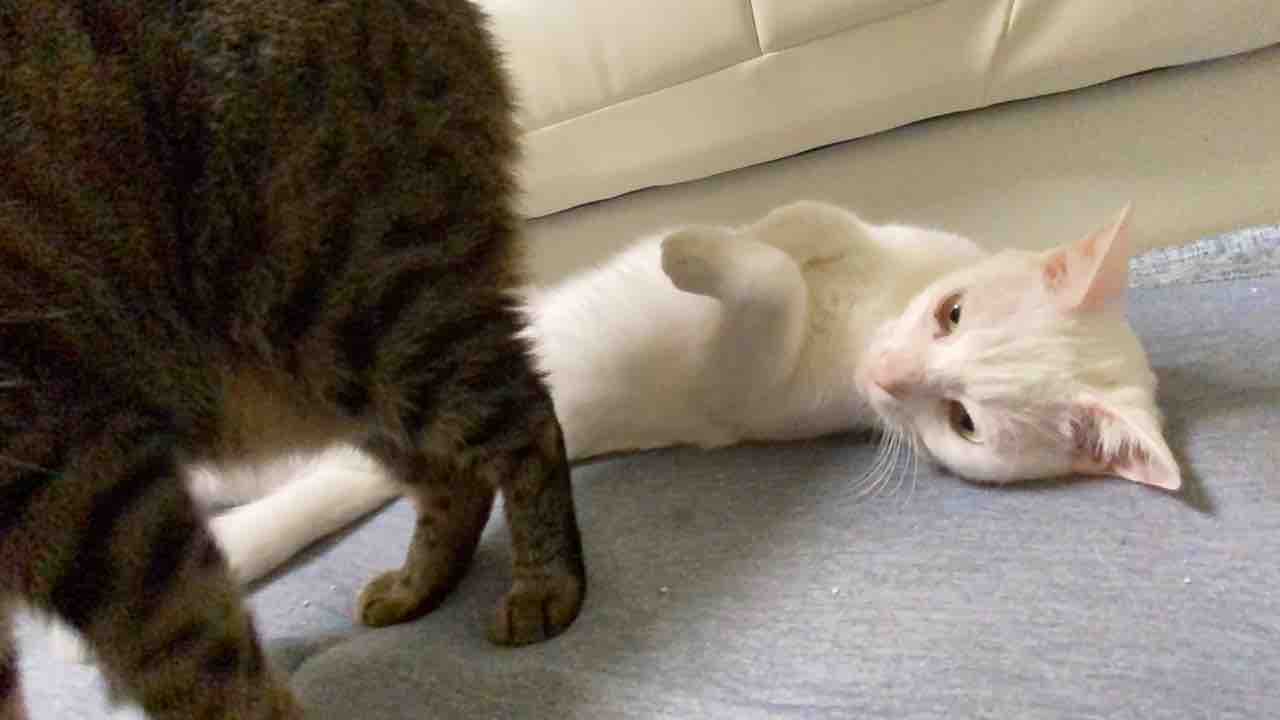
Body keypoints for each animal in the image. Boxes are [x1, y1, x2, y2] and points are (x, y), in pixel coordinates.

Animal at [1, 1, 586, 718]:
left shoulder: (80, 475)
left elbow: (196, 653)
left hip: (355, 306)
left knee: (528, 420)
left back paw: (545, 584)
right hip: (324, 379)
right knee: (455, 476)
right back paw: (418, 585)